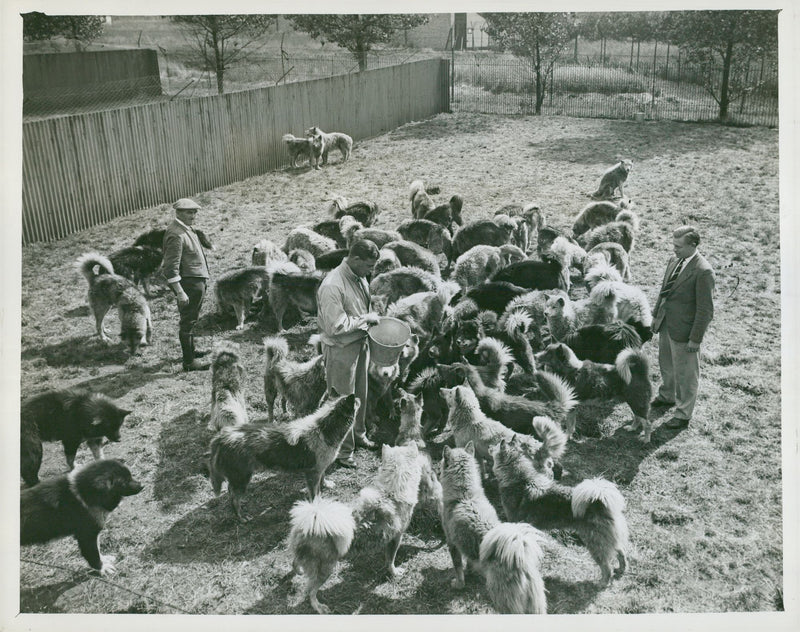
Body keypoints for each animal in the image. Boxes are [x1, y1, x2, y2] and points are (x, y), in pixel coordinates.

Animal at [208, 396, 358, 524]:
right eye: (355, 401)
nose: (356, 396)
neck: (323, 428)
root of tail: (222, 437)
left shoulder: (319, 469)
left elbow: (322, 479)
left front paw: (326, 485)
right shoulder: (312, 473)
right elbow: (315, 494)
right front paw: (317, 506)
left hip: (238, 477)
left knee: (231, 492)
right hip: (242, 477)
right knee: (234, 498)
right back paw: (241, 517)